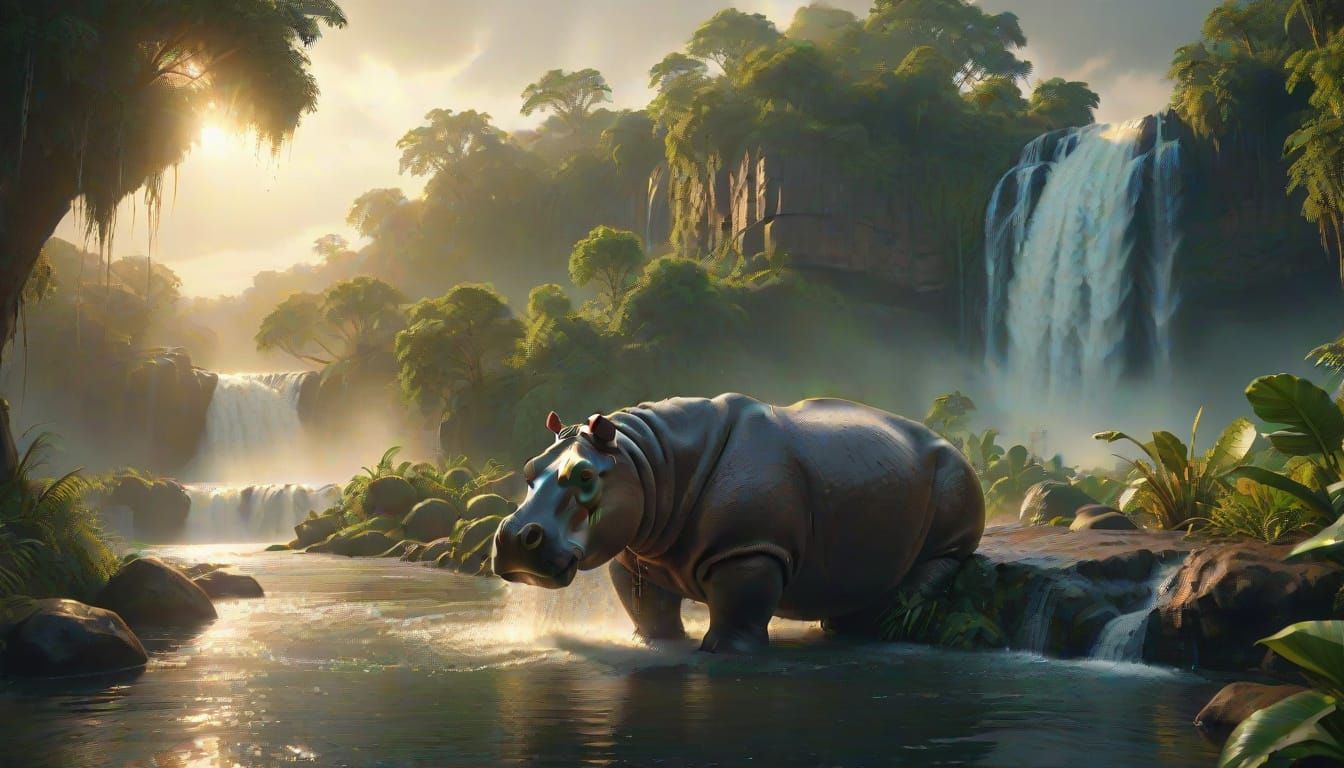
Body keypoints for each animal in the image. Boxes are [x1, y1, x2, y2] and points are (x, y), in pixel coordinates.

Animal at [491, 394, 985, 652]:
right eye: (528, 471)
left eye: (586, 477)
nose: (514, 538)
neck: (643, 459)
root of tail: (953, 444)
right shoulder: (635, 554)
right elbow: (647, 607)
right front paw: (657, 647)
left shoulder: (749, 548)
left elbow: (740, 607)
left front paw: (720, 654)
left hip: (955, 479)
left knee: (939, 559)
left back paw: (882, 630)